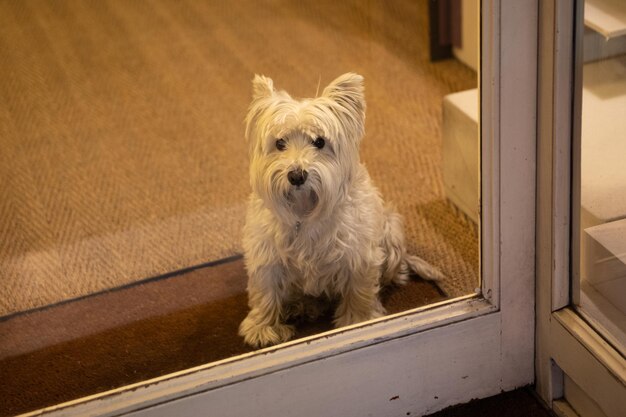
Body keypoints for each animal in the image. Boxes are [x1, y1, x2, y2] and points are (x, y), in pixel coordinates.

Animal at [236, 73, 442, 346]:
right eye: (279, 143)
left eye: (320, 142)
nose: (297, 175)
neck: (305, 210)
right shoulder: (266, 256)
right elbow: (264, 293)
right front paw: (262, 328)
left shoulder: (358, 257)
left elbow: (358, 293)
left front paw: (359, 322)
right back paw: (301, 306)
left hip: (391, 230)